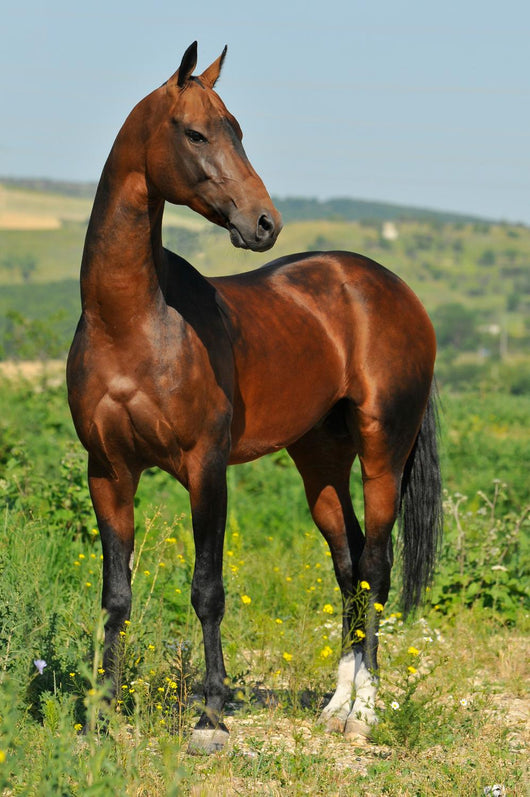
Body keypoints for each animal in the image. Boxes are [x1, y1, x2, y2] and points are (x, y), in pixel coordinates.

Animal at [67, 42, 442, 755]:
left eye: (237, 130)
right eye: (195, 133)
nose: (264, 222)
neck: (133, 322)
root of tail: (389, 288)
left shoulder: (205, 468)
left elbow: (207, 589)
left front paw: (211, 718)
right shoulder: (109, 472)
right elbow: (114, 595)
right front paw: (100, 715)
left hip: (383, 450)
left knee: (376, 566)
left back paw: (364, 712)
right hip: (320, 461)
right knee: (348, 565)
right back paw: (335, 703)